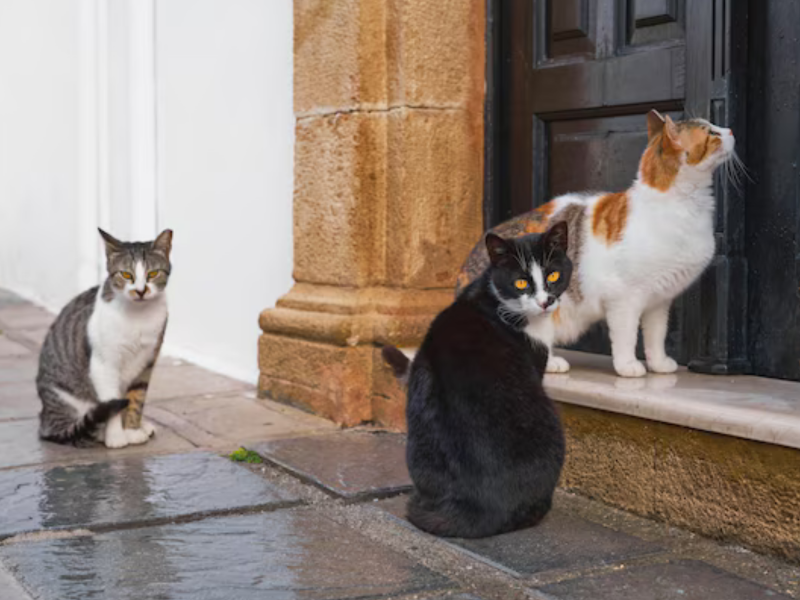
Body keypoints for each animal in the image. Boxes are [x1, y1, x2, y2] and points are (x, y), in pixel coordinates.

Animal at [36, 227, 173, 448]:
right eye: (126, 274)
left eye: (152, 274)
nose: (141, 291)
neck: (138, 316)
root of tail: (45, 420)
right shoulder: (104, 365)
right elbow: (112, 403)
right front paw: (116, 436)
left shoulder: (146, 363)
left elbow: (136, 399)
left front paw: (132, 430)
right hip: (67, 399)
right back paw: (98, 432)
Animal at [456, 110, 736, 378]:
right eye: (712, 133)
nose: (731, 130)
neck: (683, 205)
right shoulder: (623, 298)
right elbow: (626, 335)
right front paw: (628, 366)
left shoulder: (659, 301)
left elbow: (656, 335)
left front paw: (658, 363)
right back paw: (551, 362)